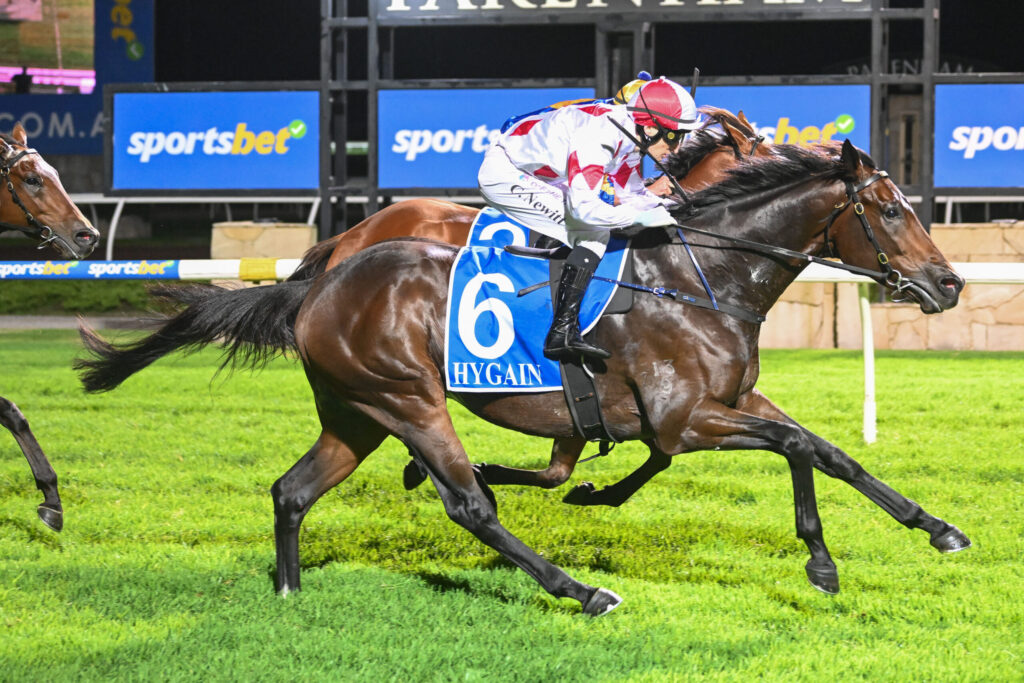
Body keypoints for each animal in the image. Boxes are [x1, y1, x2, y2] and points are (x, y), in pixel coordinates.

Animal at [76, 140, 970, 614]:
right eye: (890, 210)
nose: (951, 283)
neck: (700, 274)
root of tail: (319, 282)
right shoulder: (686, 419)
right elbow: (794, 445)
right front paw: (823, 560)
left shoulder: (729, 397)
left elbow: (825, 448)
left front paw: (930, 528)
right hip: (406, 397)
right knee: (470, 503)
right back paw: (580, 589)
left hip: (355, 411)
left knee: (292, 490)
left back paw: (292, 597)